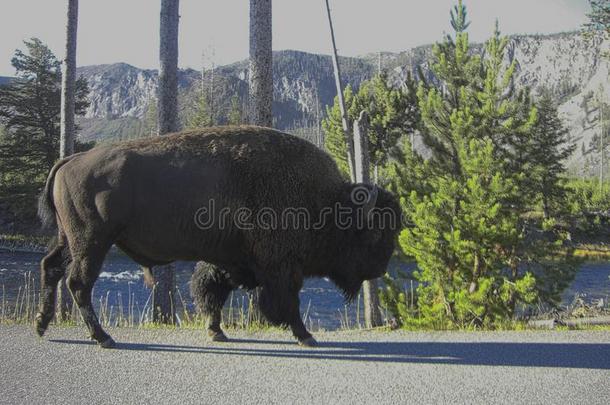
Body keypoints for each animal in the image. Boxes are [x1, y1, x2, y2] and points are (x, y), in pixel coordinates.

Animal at [36, 124, 400, 346]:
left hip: (69, 240)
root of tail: (71, 159)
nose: (381, 269)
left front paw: (216, 332)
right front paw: (306, 336)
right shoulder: (280, 266)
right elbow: (287, 302)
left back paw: (42, 323)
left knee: (51, 267)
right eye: (375, 231)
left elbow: (212, 292)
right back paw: (103, 338)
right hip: (92, 242)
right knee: (79, 283)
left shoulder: (227, 260)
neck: (323, 200)